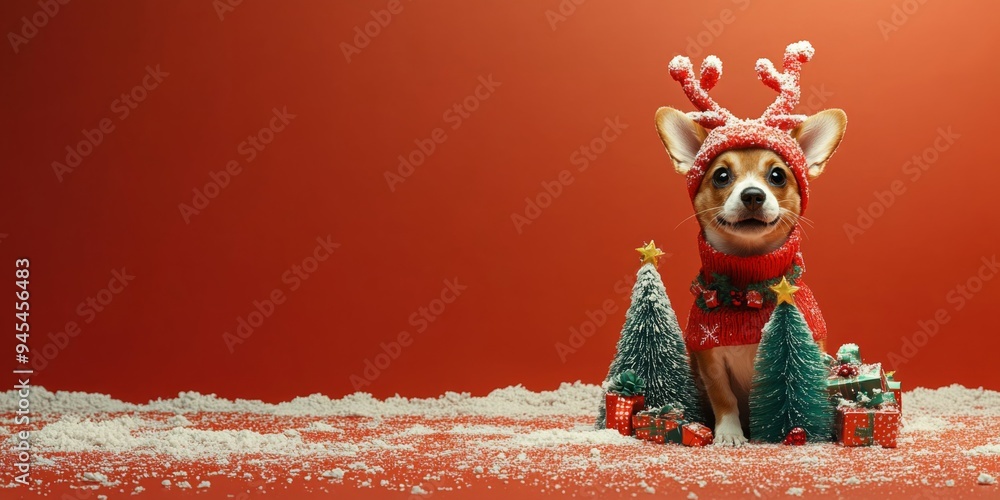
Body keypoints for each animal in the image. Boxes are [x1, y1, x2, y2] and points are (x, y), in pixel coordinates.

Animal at [656, 42, 844, 446]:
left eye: (777, 176)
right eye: (721, 176)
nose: (753, 195)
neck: (749, 285)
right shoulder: (709, 358)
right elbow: (724, 397)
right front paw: (729, 433)